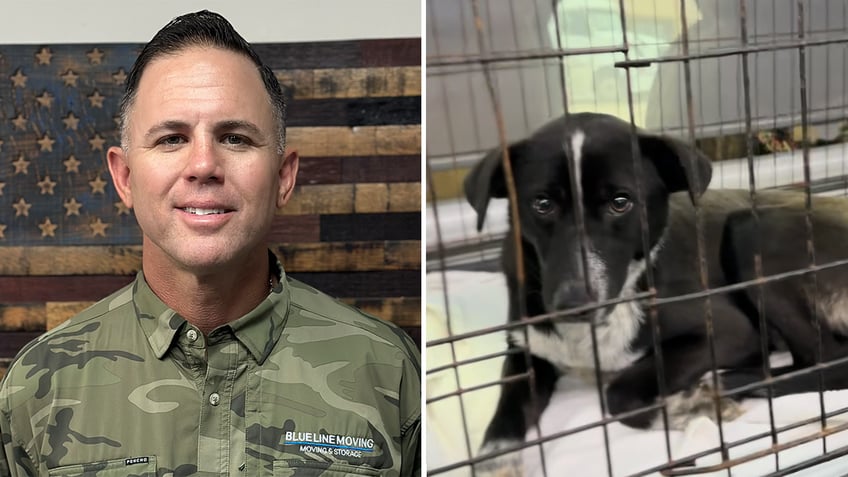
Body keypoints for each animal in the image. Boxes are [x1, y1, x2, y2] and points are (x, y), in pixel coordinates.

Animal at [468, 111, 848, 472]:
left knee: (827, 361)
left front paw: (692, 405)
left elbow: (619, 394)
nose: (573, 304)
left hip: (749, 231)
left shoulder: (733, 332)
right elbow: (504, 415)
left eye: (621, 202)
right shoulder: (525, 353)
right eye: (542, 203)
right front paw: (495, 463)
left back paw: (727, 383)